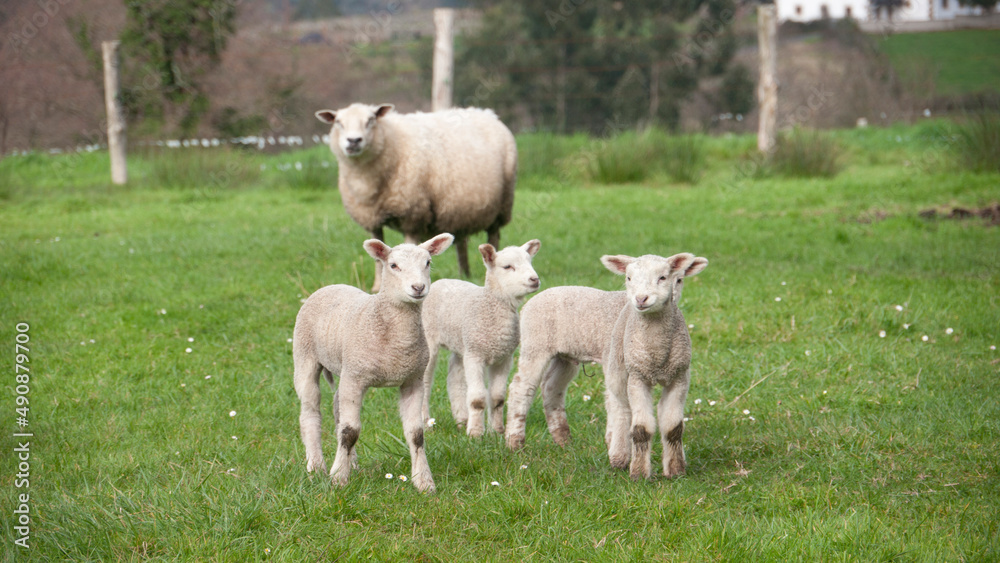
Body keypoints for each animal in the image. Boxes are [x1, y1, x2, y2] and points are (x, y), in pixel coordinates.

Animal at [293, 233, 454, 493]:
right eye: (393, 265)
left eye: (428, 262)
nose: (418, 288)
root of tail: (330, 286)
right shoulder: (355, 377)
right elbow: (350, 432)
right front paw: (338, 478)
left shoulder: (412, 380)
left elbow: (416, 434)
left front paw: (424, 482)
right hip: (306, 357)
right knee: (310, 412)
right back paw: (316, 466)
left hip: (347, 370)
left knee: (337, 408)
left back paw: (352, 463)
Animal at [315, 103, 517, 292]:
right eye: (338, 122)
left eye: (371, 120)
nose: (354, 141)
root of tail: (487, 112)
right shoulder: (371, 218)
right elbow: (378, 258)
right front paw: (376, 287)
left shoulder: (412, 215)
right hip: (459, 211)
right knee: (460, 242)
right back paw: (464, 274)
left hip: (501, 207)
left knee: (493, 237)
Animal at [421, 240, 541, 438]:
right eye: (507, 267)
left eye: (530, 262)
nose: (534, 280)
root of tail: (439, 281)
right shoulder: (475, 356)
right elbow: (477, 399)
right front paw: (476, 433)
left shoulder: (504, 357)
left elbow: (498, 398)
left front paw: (496, 431)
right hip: (431, 340)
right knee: (425, 384)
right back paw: (426, 423)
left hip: (462, 344)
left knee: (455, 380)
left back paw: (461, 420)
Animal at [504, 285, 628, 451]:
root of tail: (527, 305)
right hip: (535, 344)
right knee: (521, 388)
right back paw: (514, 443)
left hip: (563, 356)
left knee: (551, 387)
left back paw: (564, 441)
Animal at [600, 252, 708, 480]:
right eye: (629, 278)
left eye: (663, 277)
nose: (641, 299)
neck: (656, 354)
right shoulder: (638, 377)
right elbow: (641, 428)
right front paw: (639, 473)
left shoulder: (679, 377)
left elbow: (673, 427)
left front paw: (676, 470)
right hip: (619, 368)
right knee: (621, 408)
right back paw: (619, 455)